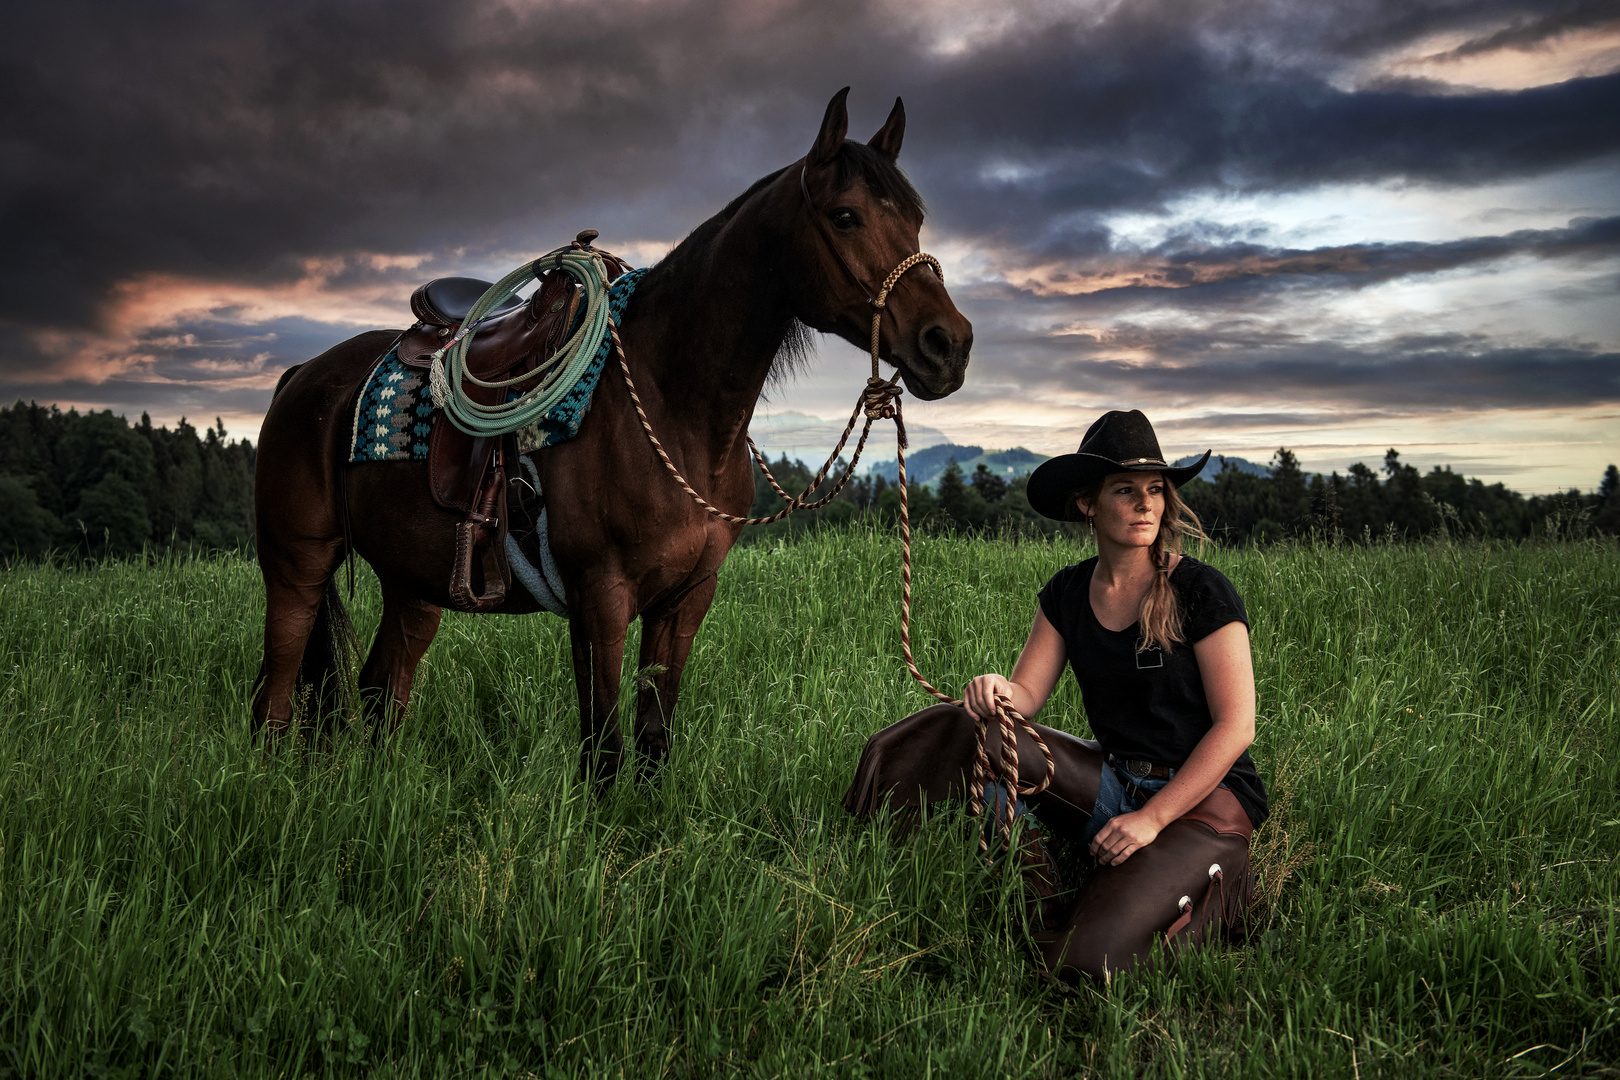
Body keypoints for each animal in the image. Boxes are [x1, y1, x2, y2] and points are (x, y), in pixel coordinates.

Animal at [246, 90, 965, 786]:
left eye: (916, 221)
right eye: (845, 216)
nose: (950, 344)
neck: (672, 407)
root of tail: (301, 377)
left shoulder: (685, 600)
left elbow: (652, 744)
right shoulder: (600, 598)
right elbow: (606, 752)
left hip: (413, 583)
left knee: (380, 692)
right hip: (297, 564)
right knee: (274, 701)